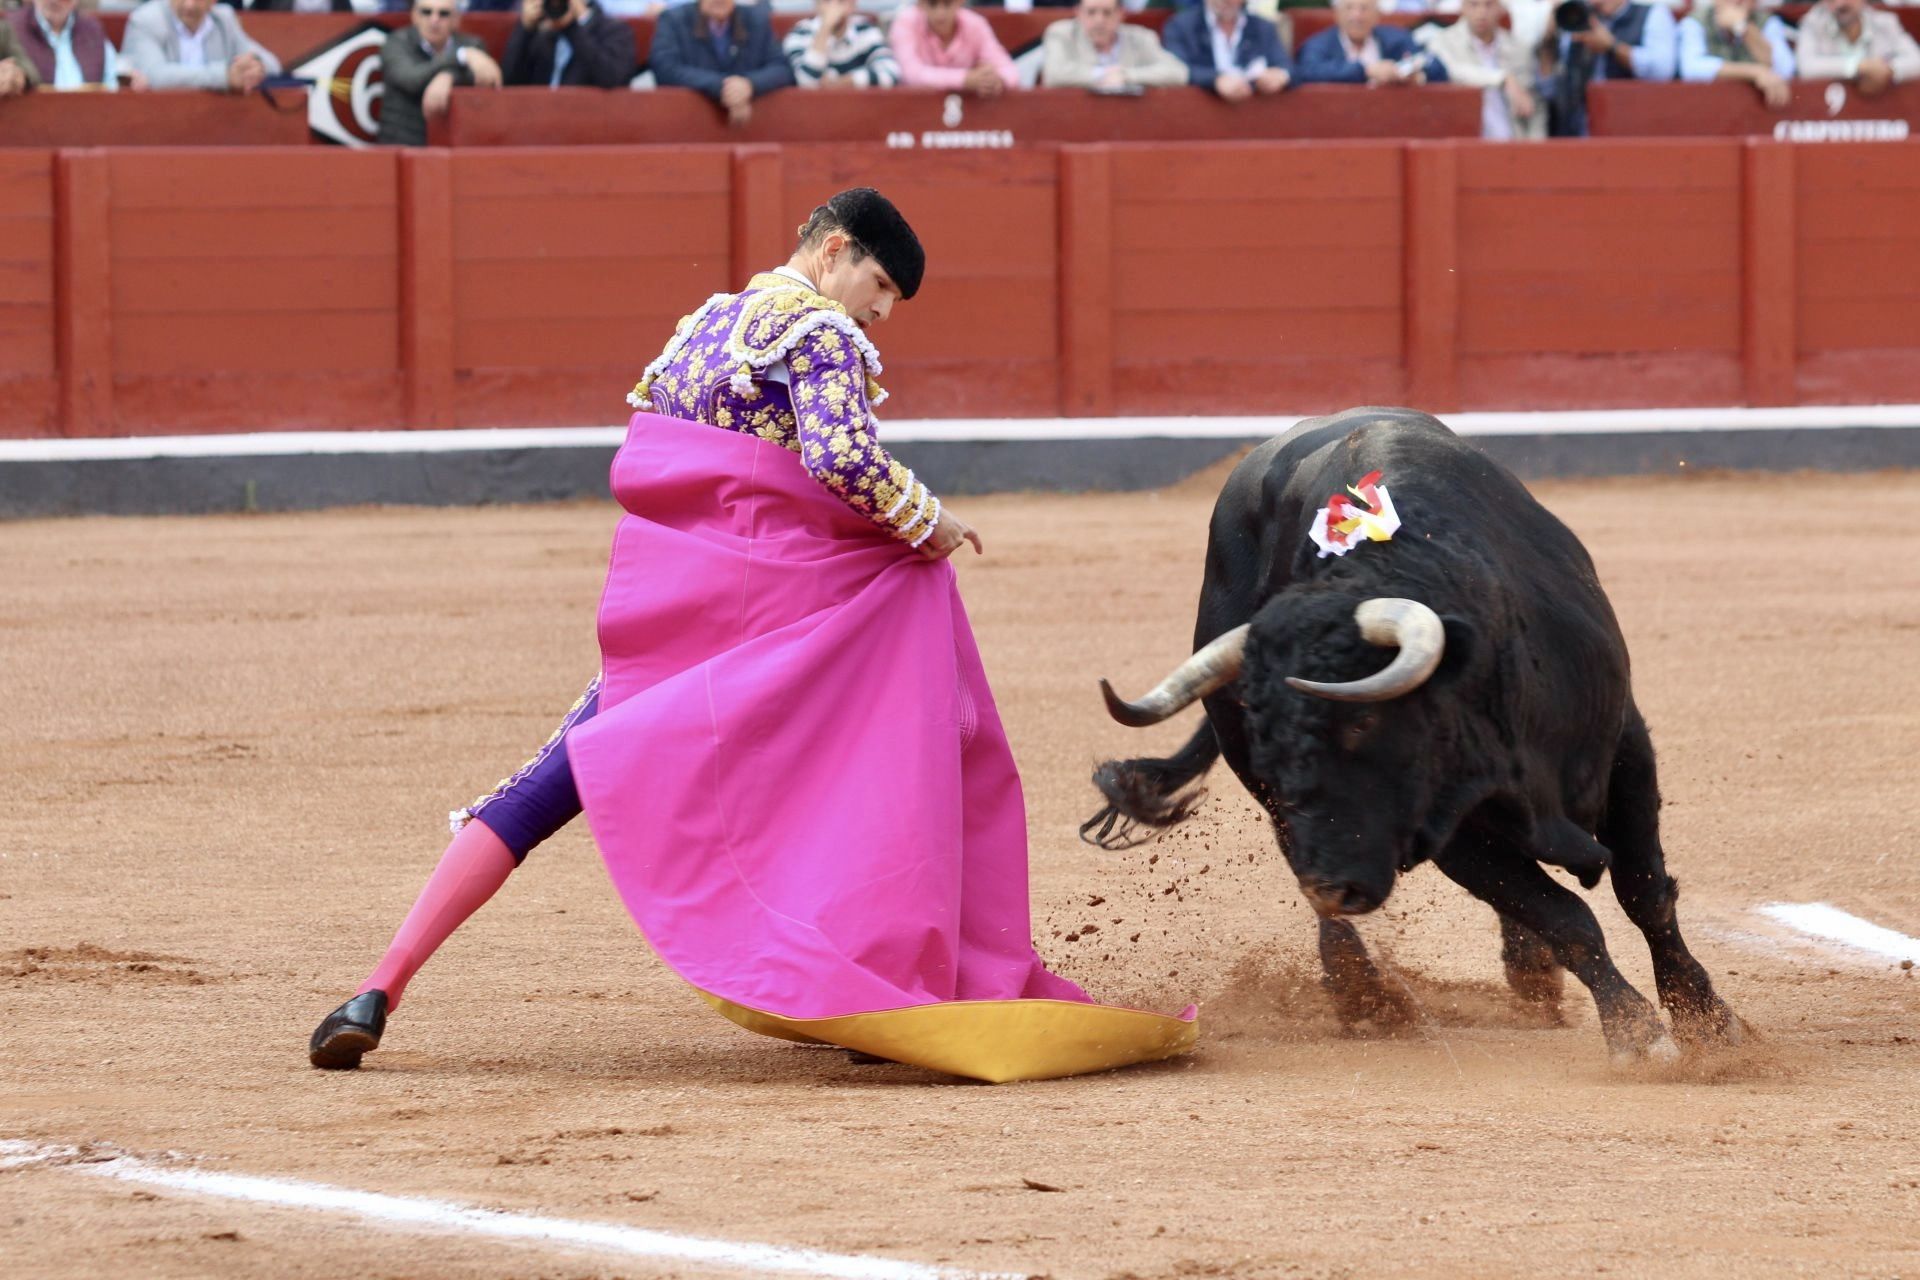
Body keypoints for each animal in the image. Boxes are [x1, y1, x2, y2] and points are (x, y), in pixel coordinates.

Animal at [1090, 408, 1751, 1059]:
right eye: (1264, 732)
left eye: (1362, 720)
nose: (1331, 887)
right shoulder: (1450, 829)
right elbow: (1566, 917)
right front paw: (1636, 1031)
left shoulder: (1625, 751)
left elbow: (1644, 893)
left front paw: (1709, 1022)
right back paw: (1365, 992)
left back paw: (1524, 973)